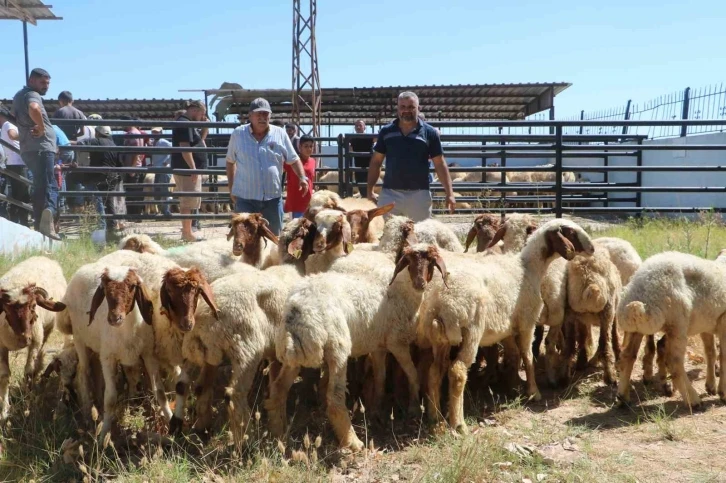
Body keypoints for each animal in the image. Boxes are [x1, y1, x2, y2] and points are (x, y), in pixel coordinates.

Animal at [0, 258, 66, 420]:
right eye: (6, 310)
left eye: (34, 305)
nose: (25, 339)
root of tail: (44, 257)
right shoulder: (1, 346)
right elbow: (4, 376)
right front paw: (4, 411)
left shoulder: (35, 341)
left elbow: (28, 372)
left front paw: (27, 405)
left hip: (46, 331)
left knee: (39, 360)